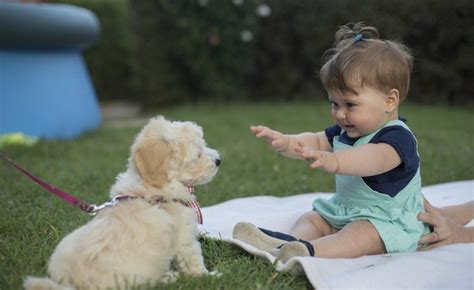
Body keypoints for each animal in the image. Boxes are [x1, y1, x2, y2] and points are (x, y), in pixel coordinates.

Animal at [26, 116, 223, 290]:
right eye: (198, 154)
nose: (218, 160)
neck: (150, 189)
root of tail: (72, 283)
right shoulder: (185, 236)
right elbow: (194, 260)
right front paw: (210, 276)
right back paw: (170, 277)